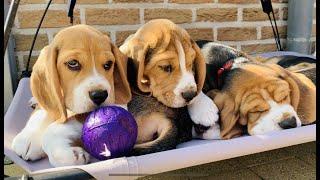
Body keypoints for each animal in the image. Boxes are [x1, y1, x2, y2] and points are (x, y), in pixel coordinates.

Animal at [10, 24, 131, 167]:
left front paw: (70, 154)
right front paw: (29, 137)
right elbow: (44, 111)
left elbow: (52, 130)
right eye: (73, 63)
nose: (100, 95)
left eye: (108, 64)